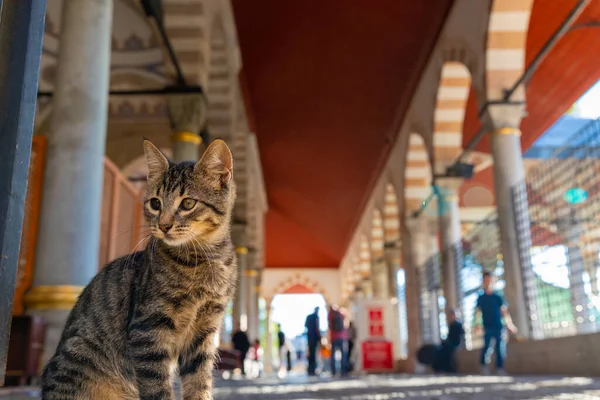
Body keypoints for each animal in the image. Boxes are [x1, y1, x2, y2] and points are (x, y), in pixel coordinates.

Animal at [41, 139, 238, 398]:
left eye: (188, 203)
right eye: (155, 203)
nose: (163, 225)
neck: (204, 259)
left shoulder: (205, 332)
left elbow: (199, 383)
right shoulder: (149, 329)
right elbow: (157, 387)